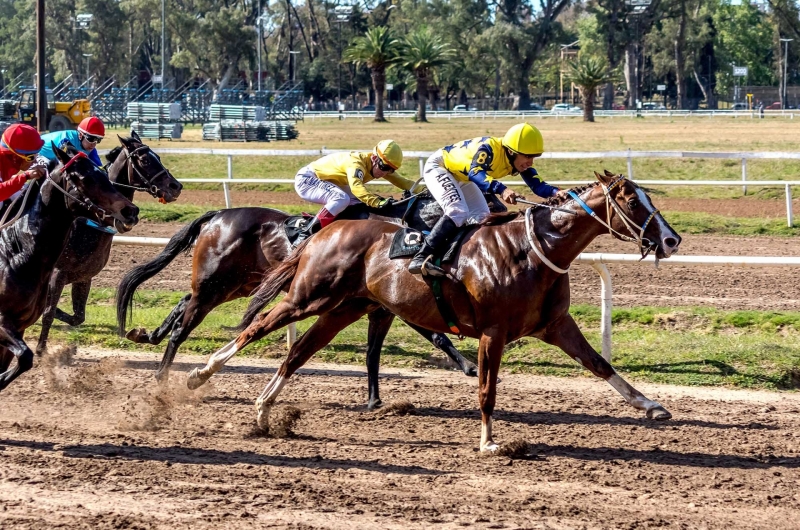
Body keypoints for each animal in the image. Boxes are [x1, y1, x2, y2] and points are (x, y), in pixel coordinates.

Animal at [0, 142, 139, 390]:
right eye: (83, 178)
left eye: (103, 175)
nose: (130, 211)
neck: (16, 254)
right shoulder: (4, 322)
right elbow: (28, 353)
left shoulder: (21, 325)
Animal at [35, 131, 182, 354]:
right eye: (145, 160)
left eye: (158, 156)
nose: (176, 187)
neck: (88, 225)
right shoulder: (57, 274)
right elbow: (49, 312)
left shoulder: (83, 277)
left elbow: (78, 317)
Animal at [115, 192, 496, 406]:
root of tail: (218, 215)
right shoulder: (393, 305)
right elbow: (435, 336)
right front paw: (468, 365)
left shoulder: (381, 307)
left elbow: (374, 352)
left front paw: (375, 398)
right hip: (216, 286)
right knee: (184, 325)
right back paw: (163, 375)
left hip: (234, 285)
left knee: (183, 304)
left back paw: (147, 335)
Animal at [186, 170, 680, 450]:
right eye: (632, 201)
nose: (672, 239)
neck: (531, 250)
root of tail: (325, 230)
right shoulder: (492, 331)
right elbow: (486, 390)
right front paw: (489, 442)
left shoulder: (555, 325)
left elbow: (600, 364)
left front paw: (651, 405)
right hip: (308, 296)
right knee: (256, 327)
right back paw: (200, 374)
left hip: (343, 309)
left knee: (296, 354)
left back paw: (264, 411)